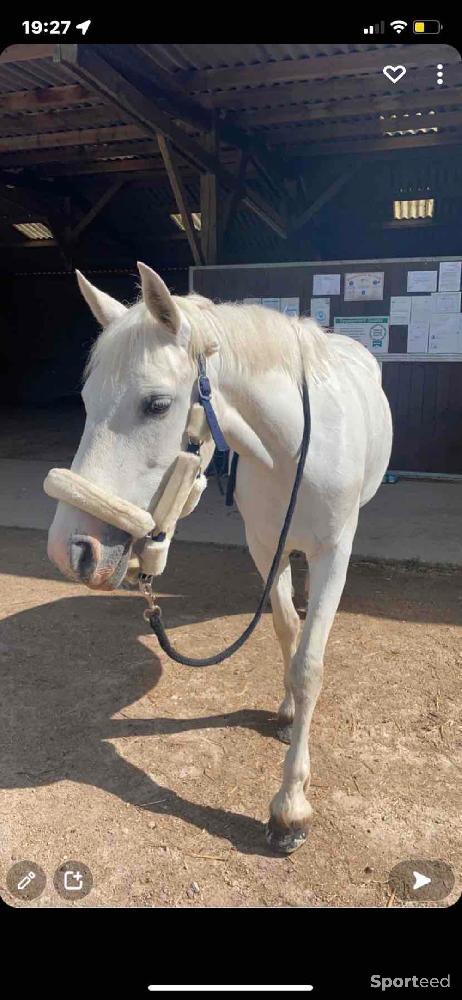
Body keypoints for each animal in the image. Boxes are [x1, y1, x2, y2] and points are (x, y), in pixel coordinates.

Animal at [47, 264, 392, 852]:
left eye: (157, 404)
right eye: (88, 400)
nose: (72, 549)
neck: (292, 451)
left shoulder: (332, 554)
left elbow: (310, 663)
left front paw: (290, 809)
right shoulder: (265, 545)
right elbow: (285, 631)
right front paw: (286, 713)